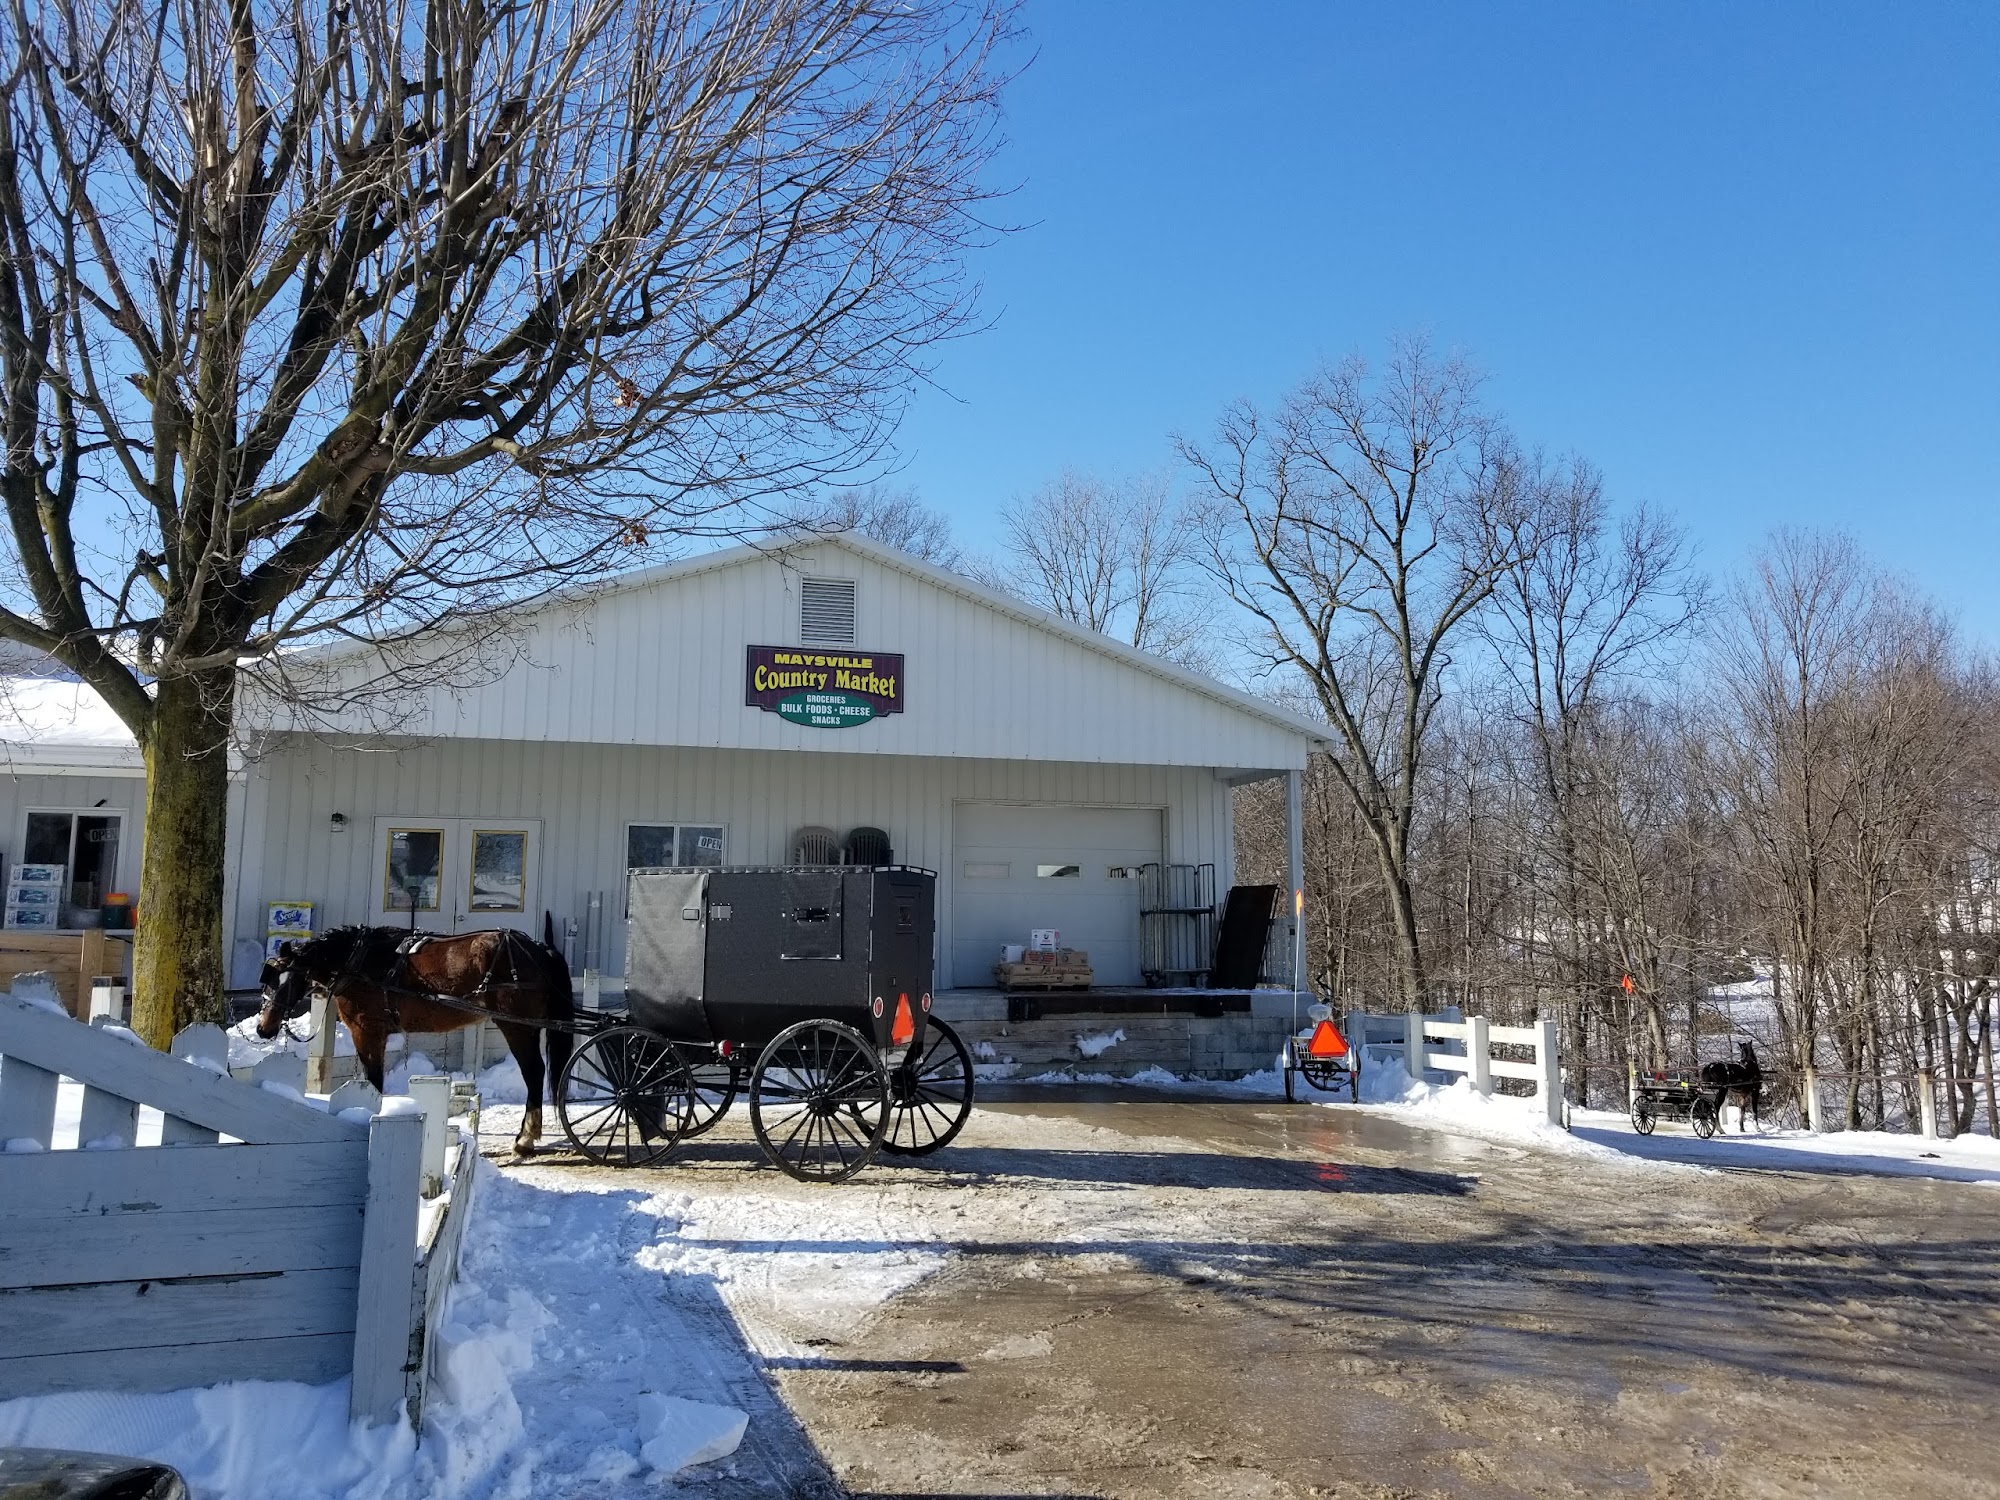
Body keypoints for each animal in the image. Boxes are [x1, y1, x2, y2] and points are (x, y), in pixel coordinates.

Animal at [254, 924, 576, 1160]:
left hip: (516, 1026)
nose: (263, 1028)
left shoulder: (367, 1030)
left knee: (533, 1071)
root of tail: (538, 948)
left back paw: (525, 1139)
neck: (361, 963)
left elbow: (374, 1080)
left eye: (286, 982)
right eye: (268, 981)